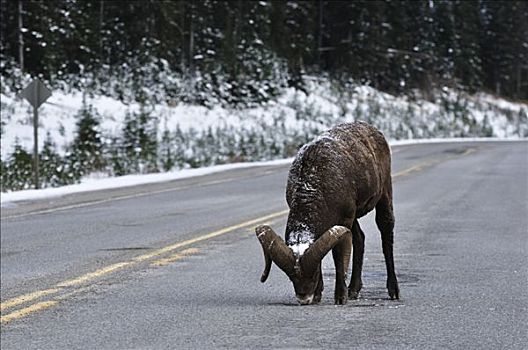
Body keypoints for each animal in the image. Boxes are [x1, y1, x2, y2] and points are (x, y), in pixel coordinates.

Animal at [256, 121, 400, 304]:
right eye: (291, 276)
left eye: (313, 274)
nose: (304, 298)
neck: (315, 183)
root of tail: (373, 130)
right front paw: (319, 295)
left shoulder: (344, 220)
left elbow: (338, 256)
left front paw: (340, 297)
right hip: (354, 218)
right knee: (359, 239)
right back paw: (353, 290)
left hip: (384, 196)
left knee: (386, 234)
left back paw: (393, 291)